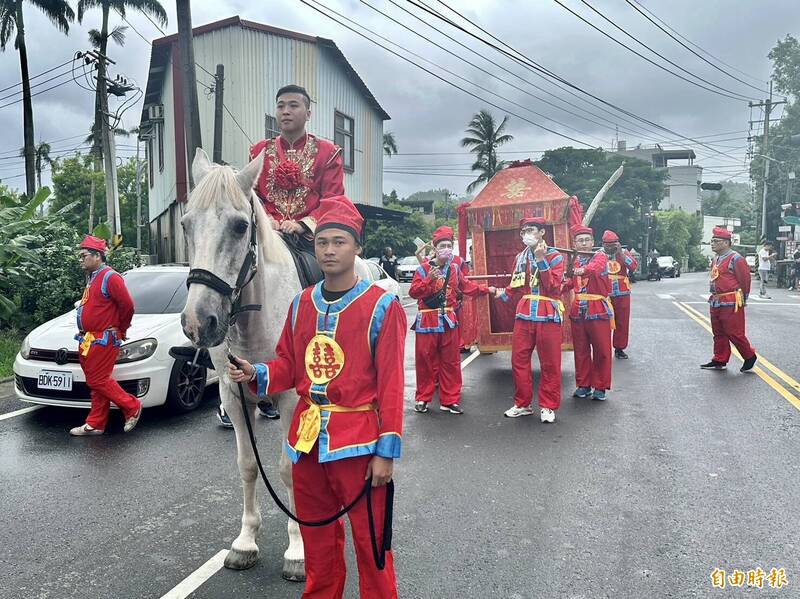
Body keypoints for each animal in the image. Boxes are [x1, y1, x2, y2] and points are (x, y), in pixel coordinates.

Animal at [180, 148, 378, 584]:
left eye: (240, 226)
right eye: (185, 225)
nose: (199, 322)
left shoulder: (290, 397)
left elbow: (290, 470)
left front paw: (299, 549)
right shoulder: (234, 395)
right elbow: (247, 466)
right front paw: (245, 541)